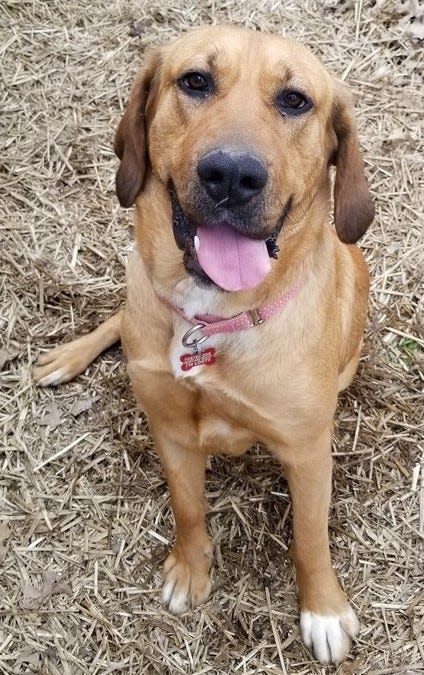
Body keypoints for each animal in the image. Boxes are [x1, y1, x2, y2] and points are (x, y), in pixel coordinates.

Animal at [34, 25, 372, 664]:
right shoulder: (169, 427)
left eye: (295, 100)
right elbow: (188, 507)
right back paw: (66, 357)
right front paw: (191, 571)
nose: (233, 175)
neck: (211, 319)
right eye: (195, 81)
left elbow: (310, 536)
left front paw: (323, 609)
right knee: (118, 319)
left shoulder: (308, 450)